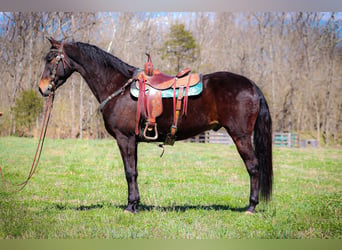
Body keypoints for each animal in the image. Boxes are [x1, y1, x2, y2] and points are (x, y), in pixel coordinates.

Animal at [38, 38, 272, 214]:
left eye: (50, 59)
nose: (42, 88)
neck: (118, 87)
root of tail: (252, 86)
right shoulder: (133, 140)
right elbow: (134, 171)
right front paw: (135, 204)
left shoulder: (125, 138)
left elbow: (129, 172)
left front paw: (130, 207)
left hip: (240, 136)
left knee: (253, 166)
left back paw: (251, 207)